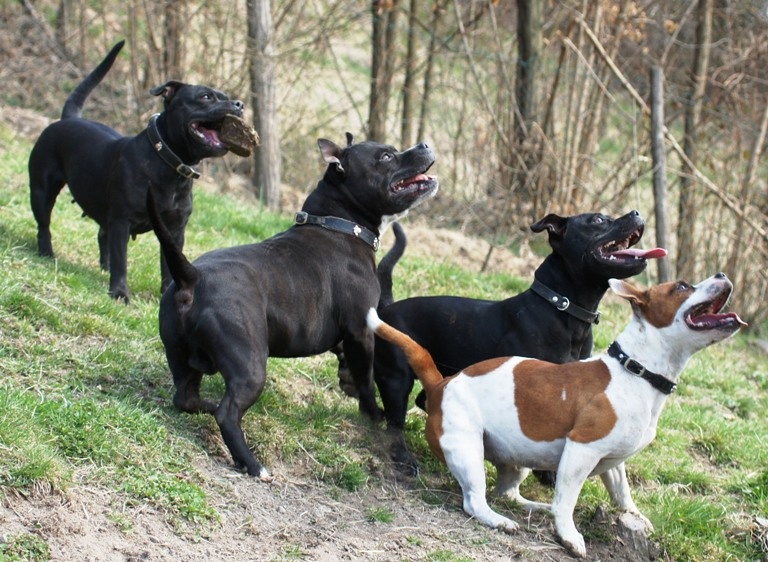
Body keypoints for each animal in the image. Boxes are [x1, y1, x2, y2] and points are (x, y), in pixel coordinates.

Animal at [28, 40, 244, 302]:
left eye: (227, 98)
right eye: (205, 97)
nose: (239, 104)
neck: (169, 164)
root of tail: (68, 118)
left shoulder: (174, 229)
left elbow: (168, 265)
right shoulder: (122, 220)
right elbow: (122, 260)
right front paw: (120, 293)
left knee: (102, 234)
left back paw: (104, 267)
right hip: (42, 188)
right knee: (44, 223)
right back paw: (46, 253)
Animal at [148, 132, 440, 476]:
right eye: (386, 157)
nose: (424, 144)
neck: (338, 222)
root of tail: (191, 278)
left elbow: (349, 366)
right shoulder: (361, 330)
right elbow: (367, 380)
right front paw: (374, 416)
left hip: (181, 358)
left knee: (185, 398)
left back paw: (206, 406)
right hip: (250, 366)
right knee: (227, 413)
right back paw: (252, 463)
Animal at [372, 208, 664, 470]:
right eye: (598, 219)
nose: (636, 212)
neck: (562, 308)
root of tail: (387, 307)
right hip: (396, 378)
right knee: (395, 422)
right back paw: (403, 458)